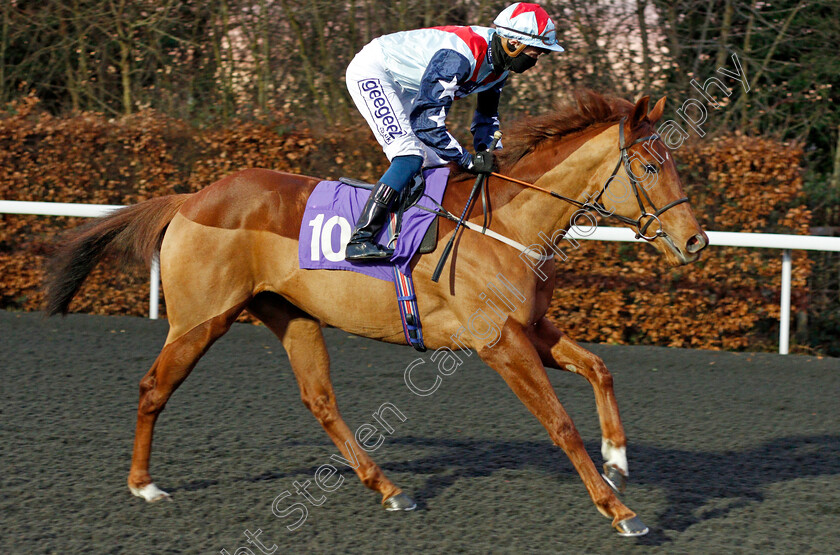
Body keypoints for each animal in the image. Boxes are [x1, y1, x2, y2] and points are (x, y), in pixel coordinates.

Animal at [41, 92, 708, 540]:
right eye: (651, 166)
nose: (695, 241)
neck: (508, 224)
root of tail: (193, 197)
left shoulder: (531, 329)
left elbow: (600, 368)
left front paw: (618, 462)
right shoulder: (499, 343)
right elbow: (560, 424)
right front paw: (619, 511)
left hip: (292, 315)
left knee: (320, 400)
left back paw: (388, 489)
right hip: (203, 319)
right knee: (154, 387)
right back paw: (144, 484)